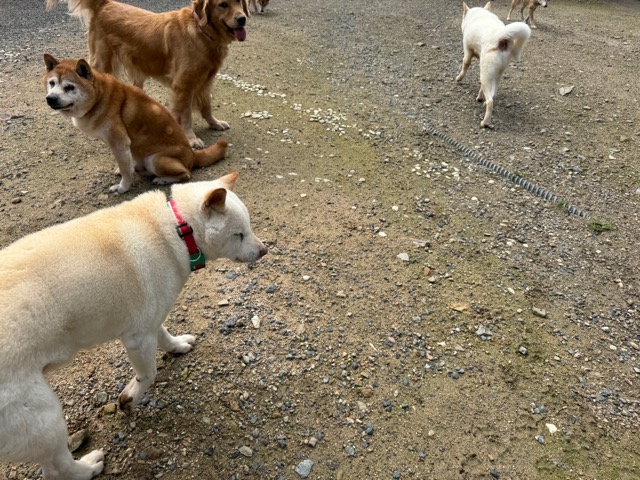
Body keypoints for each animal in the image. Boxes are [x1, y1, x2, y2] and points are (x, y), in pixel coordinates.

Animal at [0, 172, 267, 479]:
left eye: (248, 228)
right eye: (239, 234)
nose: (264, 250)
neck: (176, 228)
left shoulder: (151, 318)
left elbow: (165, 334)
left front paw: (177, 346)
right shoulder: (138, 337)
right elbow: (148, 373)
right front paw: (131, 398)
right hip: (43, 417)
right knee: (57, 466)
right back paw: (88, 467)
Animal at [44, 54, 229, 194]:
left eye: (69, 87)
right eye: (52, 83)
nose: (50, 98)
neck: (100, 98)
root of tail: (192, 155)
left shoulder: (119, 143)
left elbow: (126, 171)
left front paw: (122, 188)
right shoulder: (120, 147)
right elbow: (125, 164)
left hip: (154, 159)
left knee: (186, 174)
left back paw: (161, 179)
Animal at [46, 0, 249, 149]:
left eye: (239, 1)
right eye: (223, 4)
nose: (243, 19)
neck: (202, 30)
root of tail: (105, 3)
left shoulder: (206, 80)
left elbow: (206, 106)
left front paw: (214, 123)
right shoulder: (184, 86)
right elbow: (186, 115)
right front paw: (191, 138)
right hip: (101, 61)